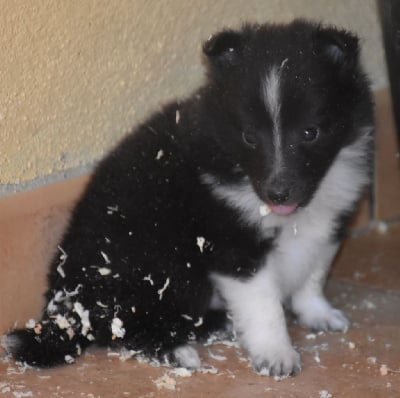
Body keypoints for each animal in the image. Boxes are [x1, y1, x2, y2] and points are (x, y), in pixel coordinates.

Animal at [1, 21, 374, 376]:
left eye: (311, 132)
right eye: (249, 137)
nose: (277, 192)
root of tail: (67, 311)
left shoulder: (330, 222)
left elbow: (314, 272)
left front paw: (318, 313)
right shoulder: (232, 243)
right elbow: (264, 304)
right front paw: (276, 354)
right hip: (167, 266)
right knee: (126, 328)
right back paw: (179, 350)